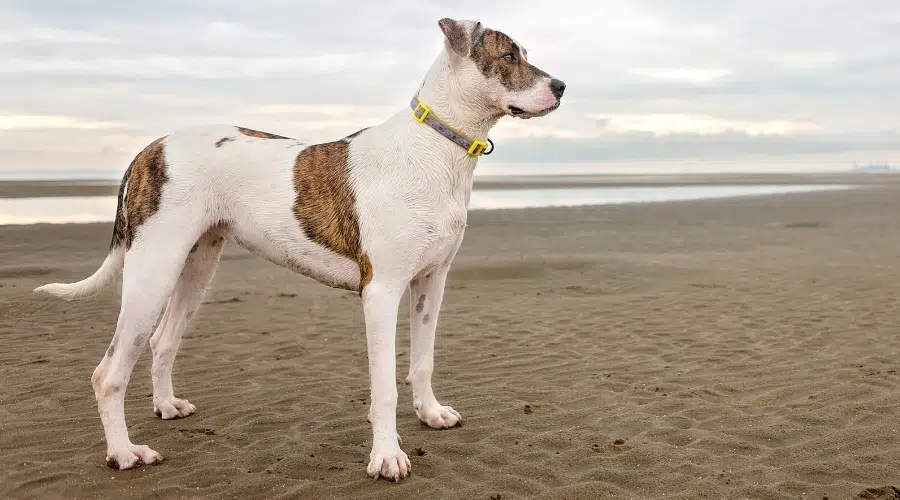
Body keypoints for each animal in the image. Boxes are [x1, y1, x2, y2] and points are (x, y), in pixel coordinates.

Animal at [37, 17, 568, 482]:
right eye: (509, 56)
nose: (562, 86)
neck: (437, 148)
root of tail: (150, 148)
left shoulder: (430, 283)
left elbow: (422, 361)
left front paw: (431, 413)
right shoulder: (381, 292)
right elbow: (383, 387)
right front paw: (386, 457)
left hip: (196, 265)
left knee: (163, 340)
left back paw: (167, 406)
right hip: (153, 269)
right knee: (108, 372)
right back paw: (124, 453)